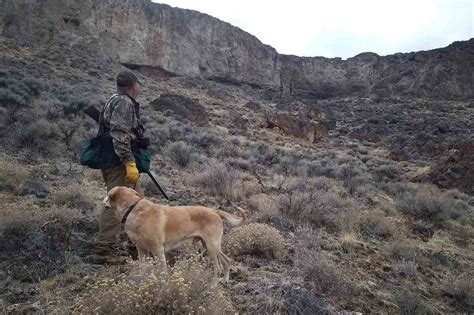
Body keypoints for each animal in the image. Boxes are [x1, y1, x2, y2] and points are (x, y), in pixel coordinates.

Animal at [103, 186, 244, 282]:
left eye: (108, 194)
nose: (102, 200)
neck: (132, 209)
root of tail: (215, 211)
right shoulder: (142, 249)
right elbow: (143, 267)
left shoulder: (157, 250)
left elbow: (162, 270)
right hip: (209, 245)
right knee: (226, 261)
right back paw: (225, 280)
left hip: (212, 246)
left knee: (219, 266)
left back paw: (214, 285)